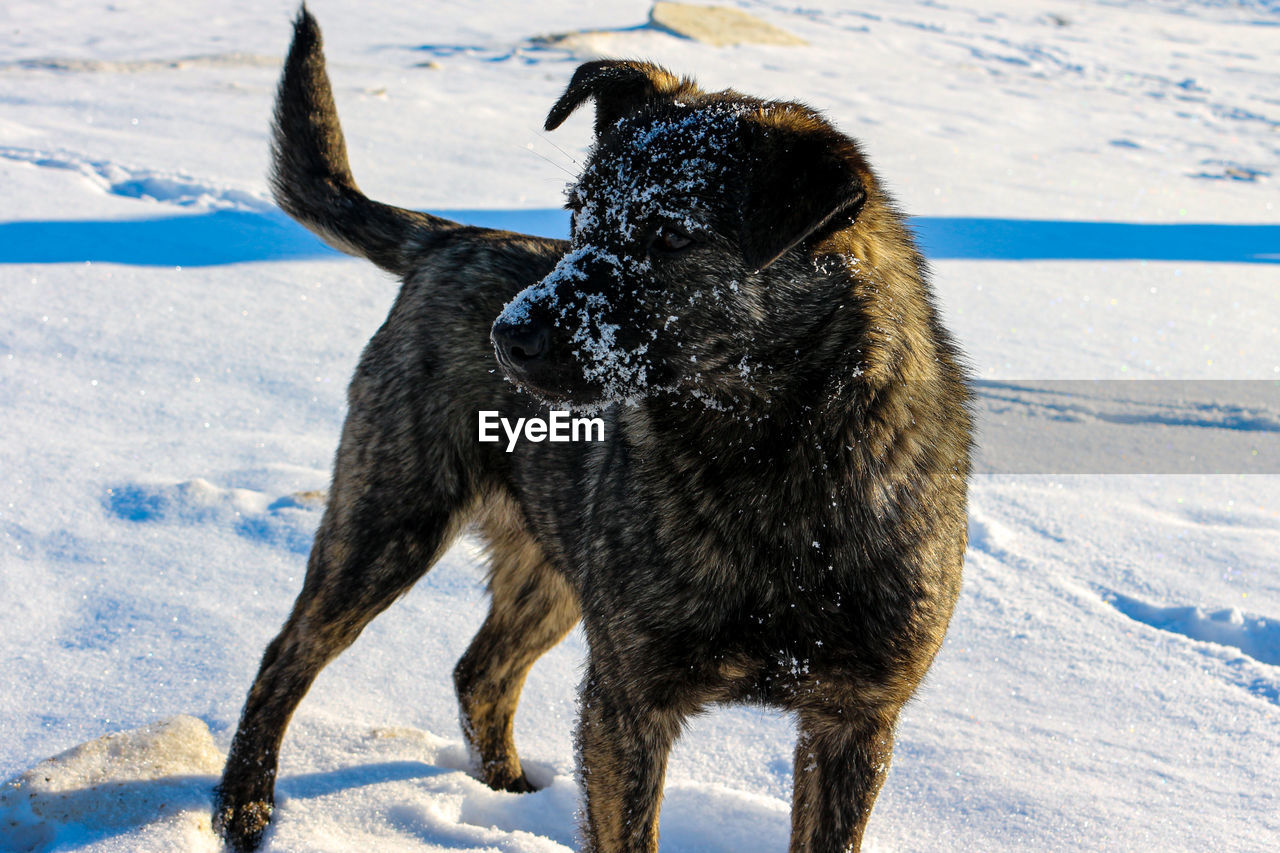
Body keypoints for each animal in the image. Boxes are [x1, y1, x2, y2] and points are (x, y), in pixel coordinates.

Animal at [212, 8, 967, 850]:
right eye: (578, 217)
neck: (771, 469)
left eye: (670, 236)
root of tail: (449, 238)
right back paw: (243, 804)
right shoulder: (628, 702)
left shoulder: (854, 720)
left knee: (481, 672)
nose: (509, 336)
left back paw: (509, 794)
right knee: (288, 653)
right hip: (386, 526)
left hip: (549, 571)